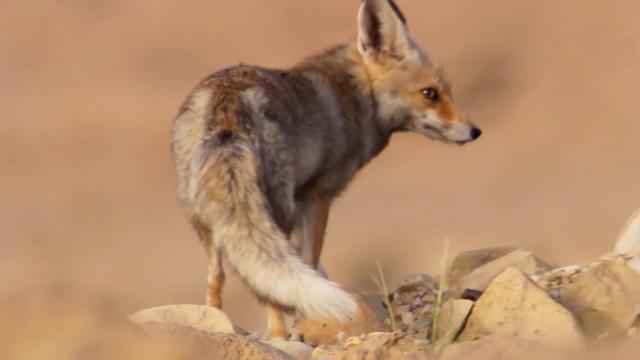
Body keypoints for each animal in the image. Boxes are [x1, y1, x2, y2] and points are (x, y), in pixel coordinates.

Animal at [170, 0, 480, 338]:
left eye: (446, 91)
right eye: (430, 94)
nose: (474, 131)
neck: (357, 96)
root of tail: (227, 108)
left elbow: (307, 268)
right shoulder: (317, 196)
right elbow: (310, 261)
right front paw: (305, 318)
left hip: (206, 220)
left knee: (217, 282)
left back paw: (215, 324)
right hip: (274, 210)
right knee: (267, 292)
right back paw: (278, 335)